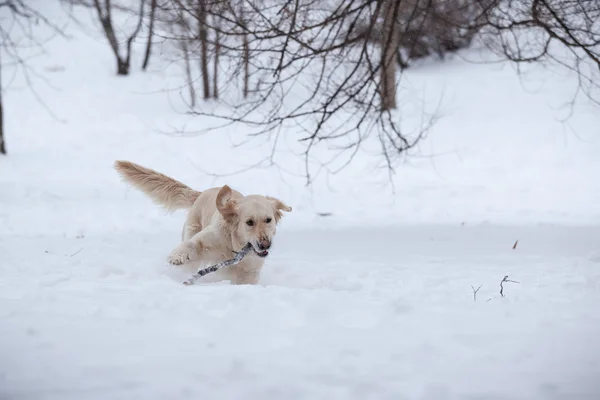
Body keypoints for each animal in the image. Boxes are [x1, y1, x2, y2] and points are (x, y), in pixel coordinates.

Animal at [113, 160, 292, 284]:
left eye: (268, 220)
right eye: (249, 222)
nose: (265, 244)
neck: (234, 246)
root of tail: (201, 193)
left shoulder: (250, 271)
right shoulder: (208, 239)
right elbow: (193, 244)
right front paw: (177, 256)